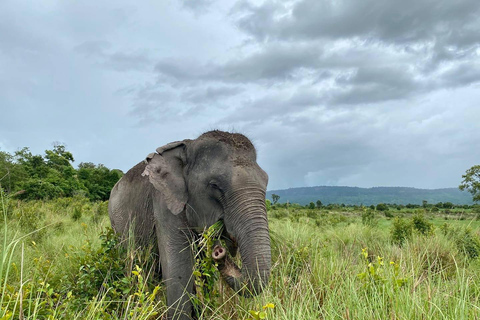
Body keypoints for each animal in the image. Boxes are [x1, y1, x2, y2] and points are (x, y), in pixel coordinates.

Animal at [109, 131, 274, 320]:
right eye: (214, 185)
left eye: (266, 181)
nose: (219, 251)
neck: (188, 147)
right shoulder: (165, 206)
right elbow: (178, 274)